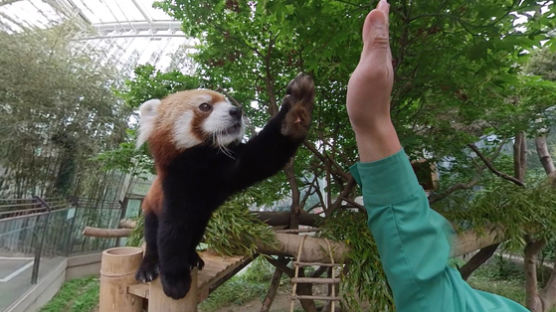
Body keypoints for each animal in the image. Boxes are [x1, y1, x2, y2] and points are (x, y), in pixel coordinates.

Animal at [134, 74, 312, 298]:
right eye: (205, 106)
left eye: (228, 103)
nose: (237, 111)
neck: (202, 163)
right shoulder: (174, 186)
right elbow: (171, 234)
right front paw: (175, 281)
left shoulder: (227, 169)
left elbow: (263, 156)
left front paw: (295, 111)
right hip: (150, 206)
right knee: (151, 236)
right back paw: (149, 266)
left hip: (202, 220)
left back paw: (192, 257)